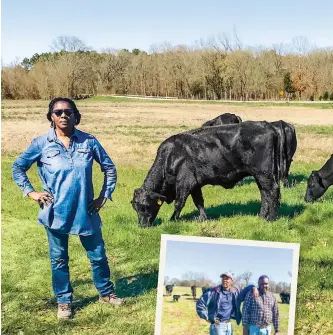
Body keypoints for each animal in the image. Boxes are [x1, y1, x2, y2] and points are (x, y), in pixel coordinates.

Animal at [131, 121, 282, 228]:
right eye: (136, 208)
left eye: (146, 206)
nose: (142, 225)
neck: (171, 156)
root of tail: (267, 125)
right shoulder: (195, 184)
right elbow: (199, 202)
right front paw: (203, 219)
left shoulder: (185, 182)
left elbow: (179, 203)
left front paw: (173, 219)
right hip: (259, 175)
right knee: (264, 193)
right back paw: (261, 216)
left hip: (264, 173)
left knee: (272, 191)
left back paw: (271, 219)